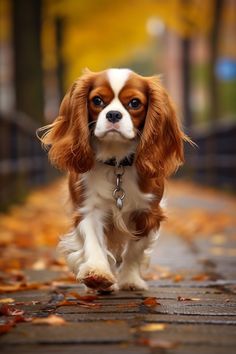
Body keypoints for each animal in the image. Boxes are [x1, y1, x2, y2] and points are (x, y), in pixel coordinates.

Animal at [38, 68, 190, 292]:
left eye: (135, 103)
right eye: (97, 100)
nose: (113, 114)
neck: (117, 163)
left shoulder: (148, 214)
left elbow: (134, 251)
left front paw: (130, 279)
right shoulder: (88, 209)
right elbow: (94, 243)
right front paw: (97, 273)